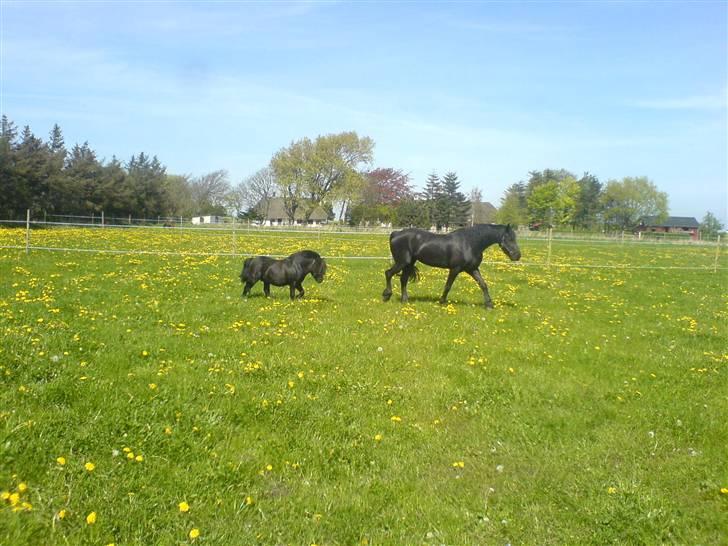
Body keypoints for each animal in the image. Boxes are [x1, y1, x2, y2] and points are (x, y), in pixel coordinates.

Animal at [384, 222, 520, 306]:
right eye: (510, 238)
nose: (517, 256)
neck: (470, 243)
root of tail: (395, 233)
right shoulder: (455, 269)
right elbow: (448, 286)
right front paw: (442, 302)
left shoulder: (473, 269)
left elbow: (483, 285)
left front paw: (489, 305)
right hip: (402, 262)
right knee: (388, 273)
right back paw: (386, 296)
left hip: (409, 263)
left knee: (403, 279)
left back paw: (404, 300)